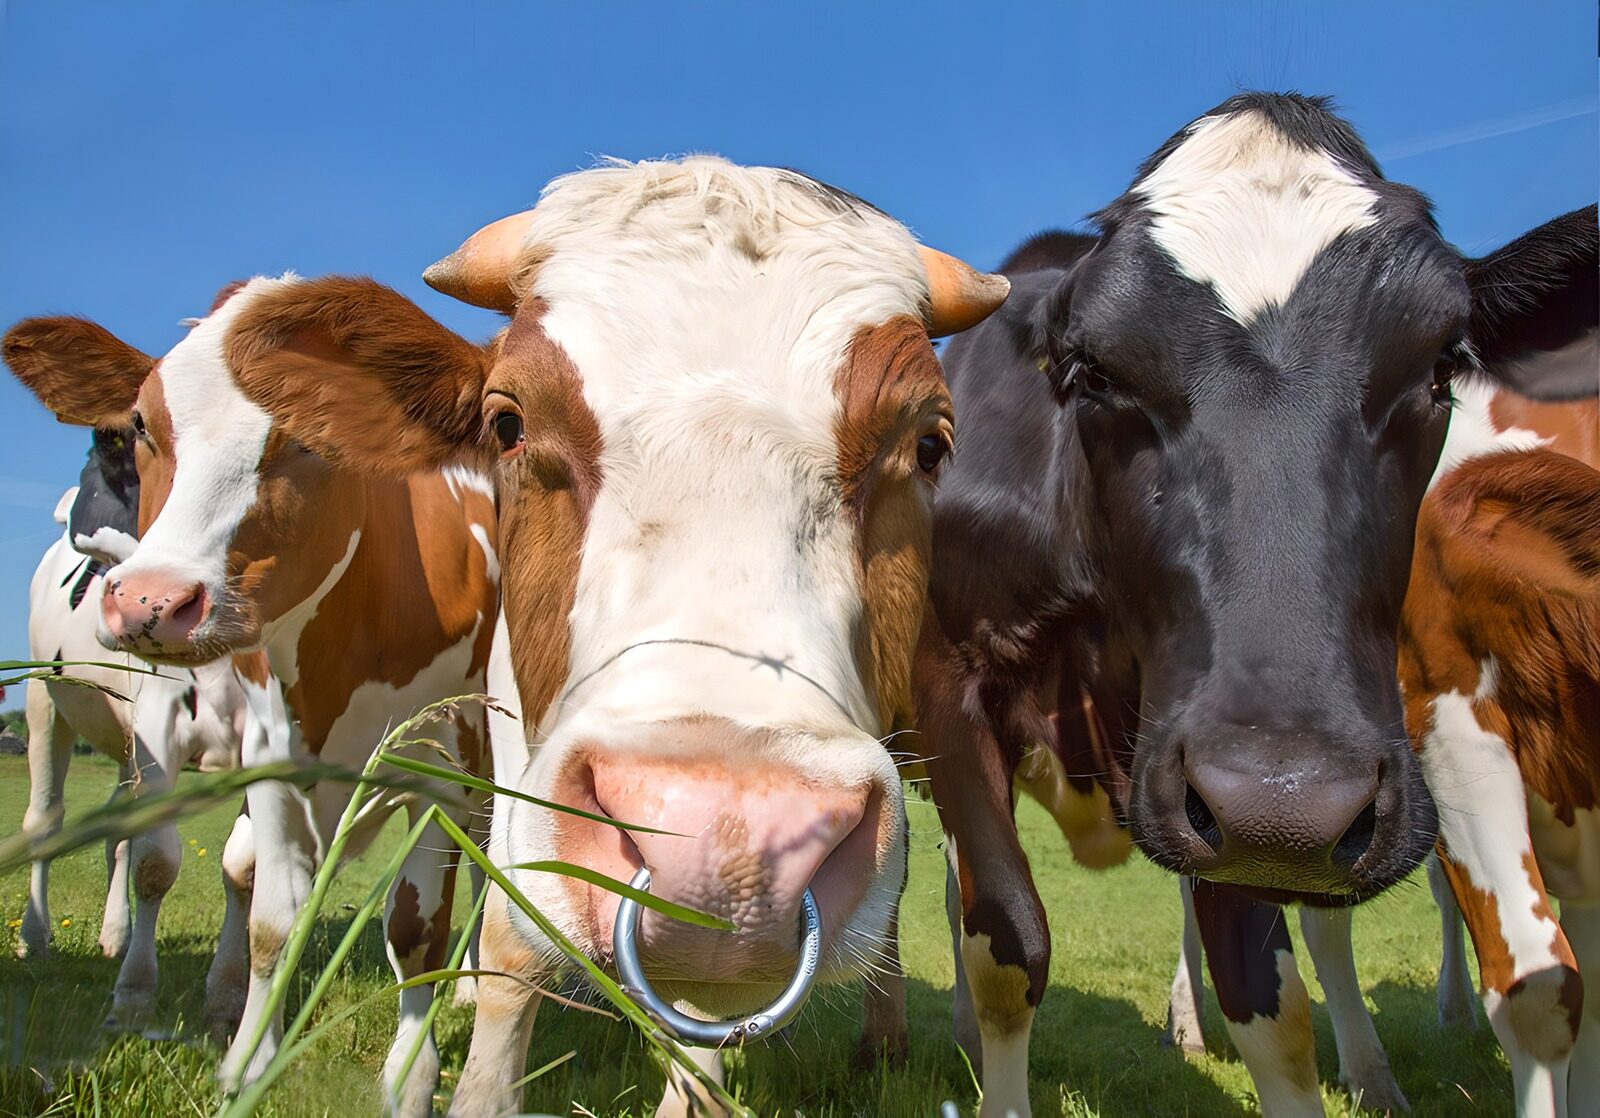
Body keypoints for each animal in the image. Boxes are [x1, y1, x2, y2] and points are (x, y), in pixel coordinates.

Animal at [3, 291, 500, 1117]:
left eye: (315, 431)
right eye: (142, 426)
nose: (150, 600)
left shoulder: (446, 767)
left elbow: (415, 930)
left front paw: (411, 1078)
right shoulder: (249, 751)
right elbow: (255, 906)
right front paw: (237, 1054)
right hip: (45, 700)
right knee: (55, 820)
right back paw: (51, 940)